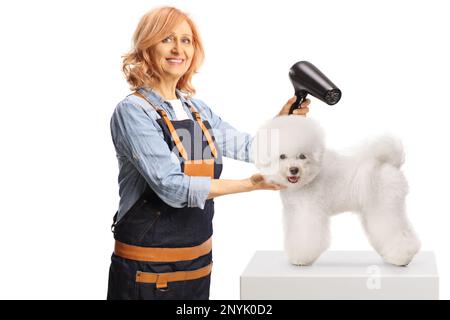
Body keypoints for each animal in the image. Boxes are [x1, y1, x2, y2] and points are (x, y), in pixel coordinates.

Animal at [253, 116, 422, 266]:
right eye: (282, 156)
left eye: (302, 156)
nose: (294, 169)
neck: (308, 179)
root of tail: (390, 164)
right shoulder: (294, 212)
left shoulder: (308, 212)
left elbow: (307, 238)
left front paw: (301, 258)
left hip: (385, 208)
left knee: (398, 233)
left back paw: (401, 258)